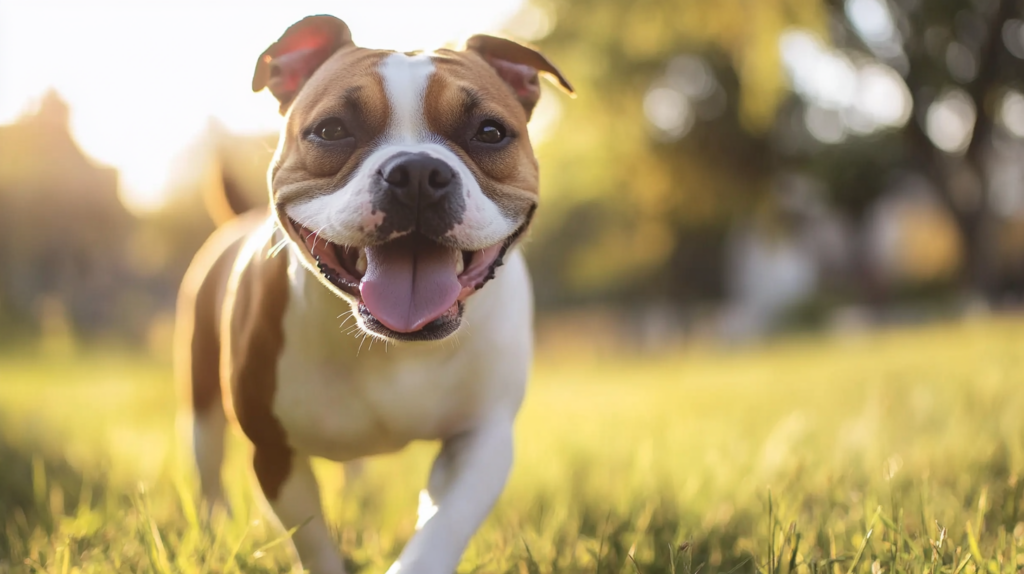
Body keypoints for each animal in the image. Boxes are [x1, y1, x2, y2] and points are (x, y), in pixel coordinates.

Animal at [177, 14, 577, 572]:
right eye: (331, 129)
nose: (418, 172)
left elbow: (442, 527)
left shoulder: (483, 436)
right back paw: (214, 527)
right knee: (209, 465)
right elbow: (314, 540)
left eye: (490, 132)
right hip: (201, 400)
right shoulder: (273, 449)